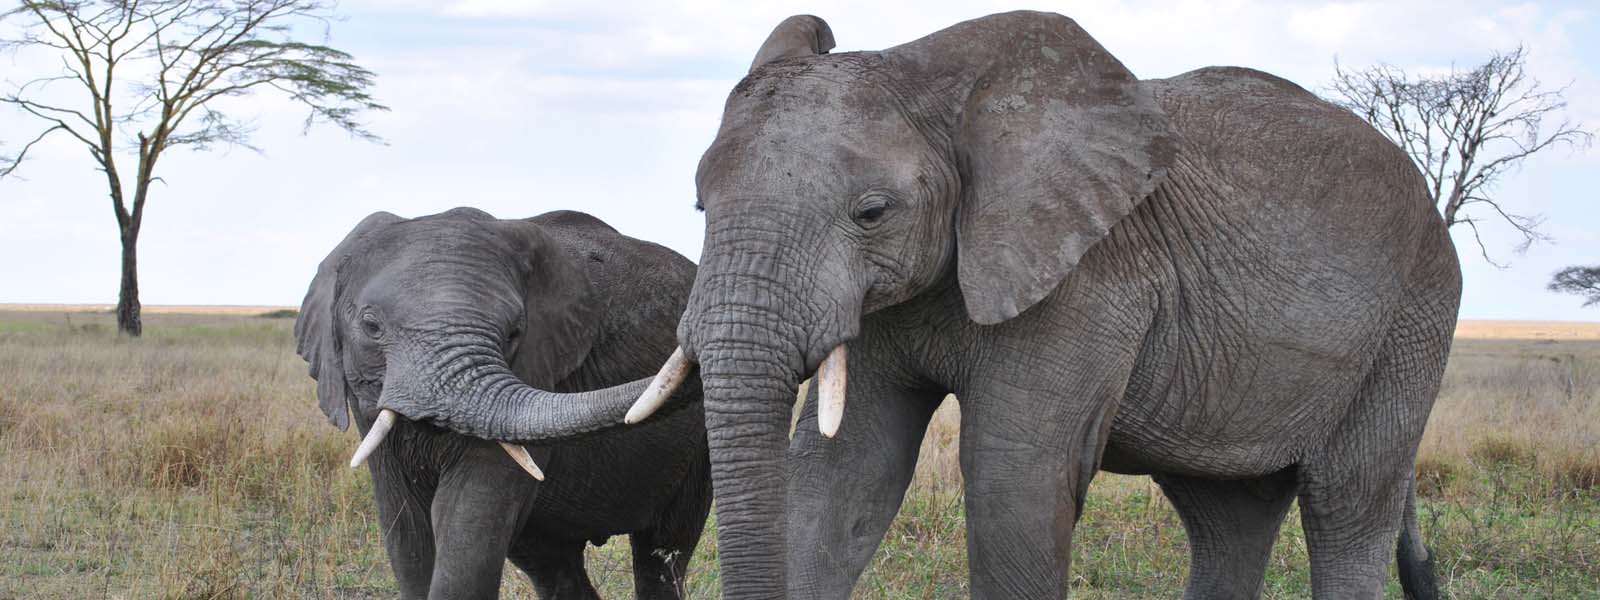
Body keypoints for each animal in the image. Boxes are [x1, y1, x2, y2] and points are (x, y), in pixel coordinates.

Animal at [289, 208, 713, 600]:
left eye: (514, 332)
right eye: (371, 326)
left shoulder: (539, 369)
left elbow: (466, 521)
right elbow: (407, 530)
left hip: (697, 453)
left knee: (662, 553)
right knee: (552, 564)